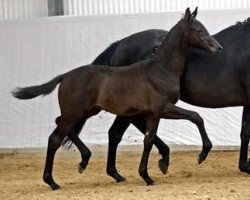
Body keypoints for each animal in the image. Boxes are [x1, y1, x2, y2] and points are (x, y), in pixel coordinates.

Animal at [11, 8, 221, 190]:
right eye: (198, 30)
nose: (218, 48)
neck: (160, 68)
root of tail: (64, 76)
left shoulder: (153, 114)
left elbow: (149, 139)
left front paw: (148, 174)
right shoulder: (162, 108)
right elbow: (195, 117)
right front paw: (202, 154)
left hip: (87, 110)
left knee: (61, 123)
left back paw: (86, 160)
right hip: (75, 112)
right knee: (54, 138)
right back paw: (52, 182)